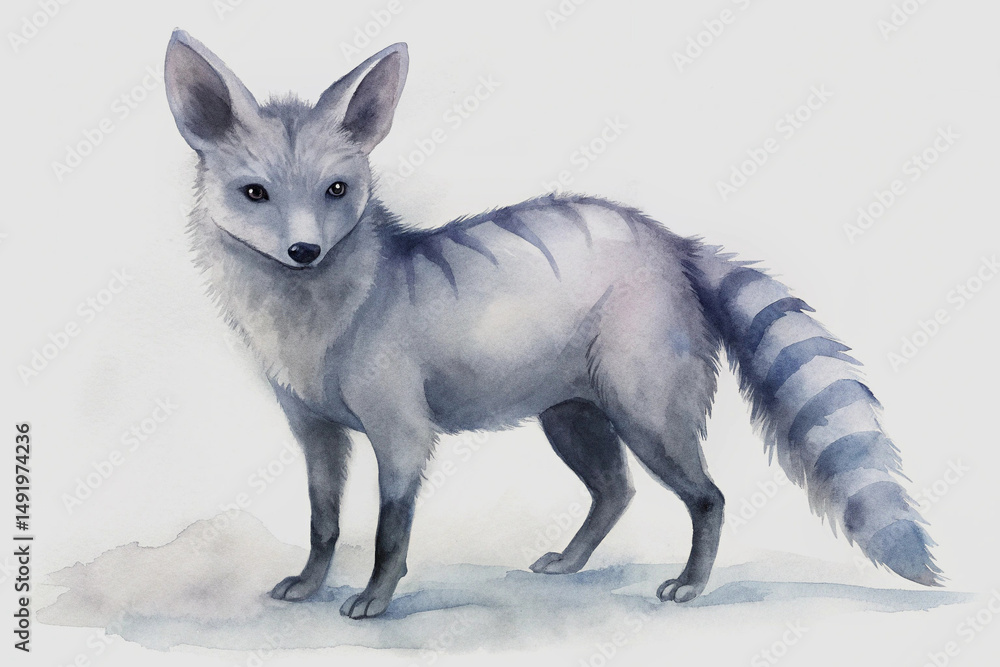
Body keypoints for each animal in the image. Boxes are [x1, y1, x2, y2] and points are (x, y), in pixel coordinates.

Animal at [163, 30, 941, 619]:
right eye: (255, 193)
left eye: (336, 190)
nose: (305, 250)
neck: (311, 322)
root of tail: (670, 242)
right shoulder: (314, 429)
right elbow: (323, 519)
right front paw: (311, 579)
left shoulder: (401, 429)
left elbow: (390, 530)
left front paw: (377, 596)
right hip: (571, 413)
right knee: (616, 491)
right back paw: (572, 558)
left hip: (644, 408)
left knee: (707, 495)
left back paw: (692, 581)